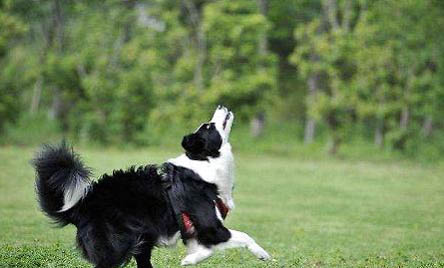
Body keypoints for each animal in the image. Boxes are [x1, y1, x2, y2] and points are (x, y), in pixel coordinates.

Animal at [32, 107, 270, 268]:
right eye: (209, 126)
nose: (221, 107)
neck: (205, 164)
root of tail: (81, 206)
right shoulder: (210, 226)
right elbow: (244, 236)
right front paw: (262, 254)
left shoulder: (196, 232)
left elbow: (207, 250)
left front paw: (191, 259)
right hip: (117, 247)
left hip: (141, 241)